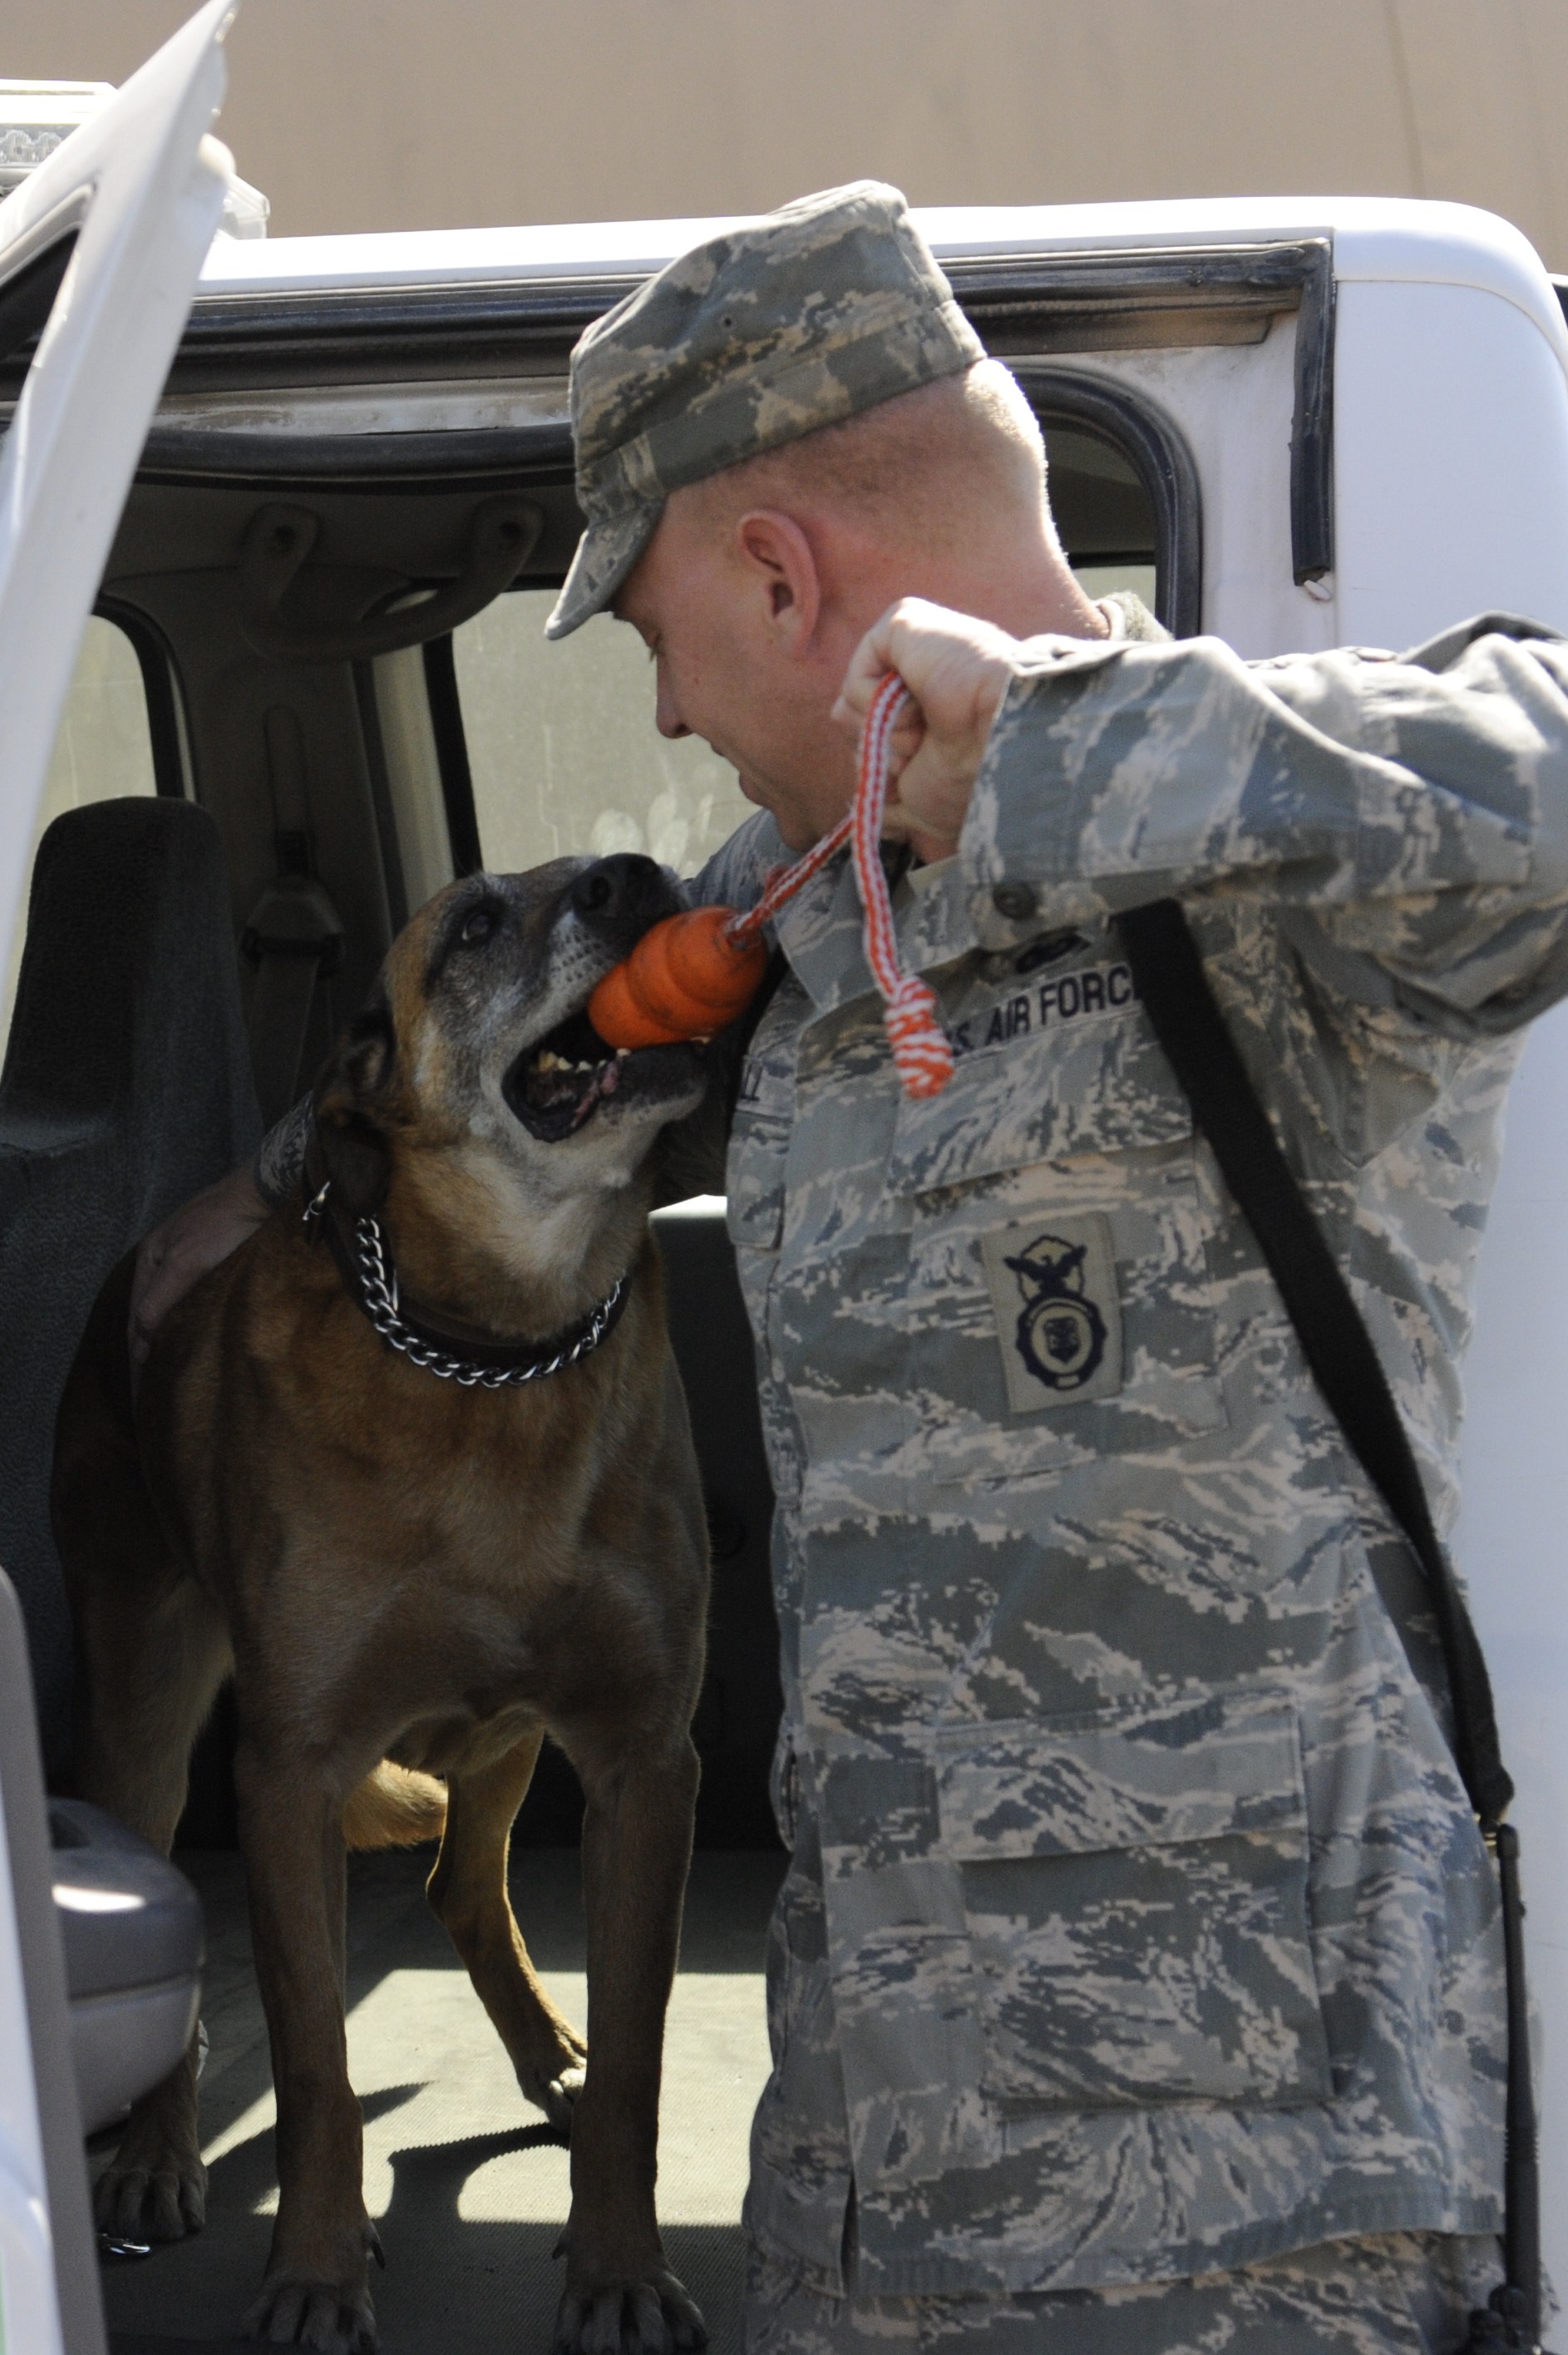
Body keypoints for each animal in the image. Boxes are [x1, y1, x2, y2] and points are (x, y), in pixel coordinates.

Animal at [53, 857, 715, 2355]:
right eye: (470, 926)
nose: (637, 877)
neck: (493, 1357)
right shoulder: (290, 1773)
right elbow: (310, 2065)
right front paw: (310, 2269)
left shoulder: (642, 1760)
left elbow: (640, 2059)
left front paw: (620, 2266)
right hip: (143, 1717)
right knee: (167, 1896)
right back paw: (156, 2153)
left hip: (507, 1732)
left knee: (461, 1884)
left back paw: (542, 2051)